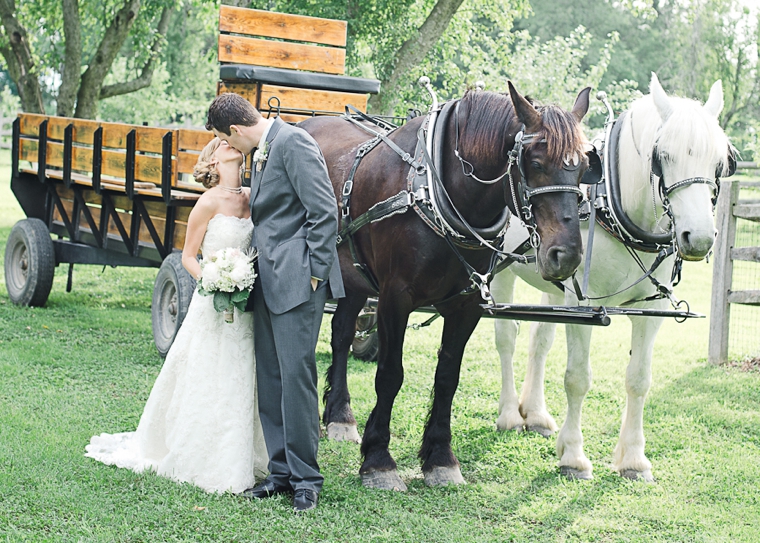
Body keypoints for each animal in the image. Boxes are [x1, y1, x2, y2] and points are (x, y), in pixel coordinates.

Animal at [300, 83, 592, 490]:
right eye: (534, 163)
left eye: (584, 166)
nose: (565, 255)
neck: (438, 192)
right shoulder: (394, 298)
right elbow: (389, 374)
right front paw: (378, 460)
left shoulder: (466, 305)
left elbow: (447, 378)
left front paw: (439, 458)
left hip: (354, 277)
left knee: (341, 333)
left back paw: (340, 415)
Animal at [492, 73, 736, 480]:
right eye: (662, 156)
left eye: (719, 161)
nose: (699, 237)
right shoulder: (582, 306)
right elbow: (577, 377)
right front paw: (574, 456)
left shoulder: (651, 309)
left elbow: (639, 379)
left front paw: (633, 459)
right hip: (503, 270)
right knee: (507, 337)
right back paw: (510, 413)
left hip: (554, 283)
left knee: (539, 339)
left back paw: (537, 414)